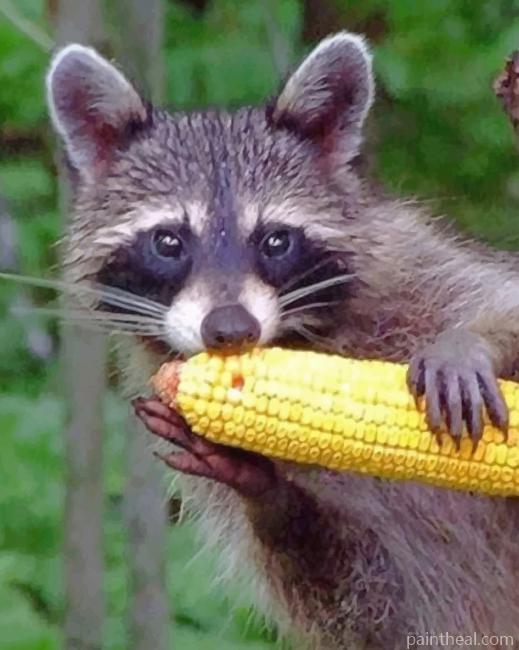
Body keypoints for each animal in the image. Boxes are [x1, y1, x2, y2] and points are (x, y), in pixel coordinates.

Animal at [46, 34, 519, 649]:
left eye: (274, 240)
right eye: (168, 242)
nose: (230, 329)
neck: (301, 344)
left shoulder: (416, 270)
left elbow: (497, 297)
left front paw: (467, 344)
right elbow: (356, 599)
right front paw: (263, 487)